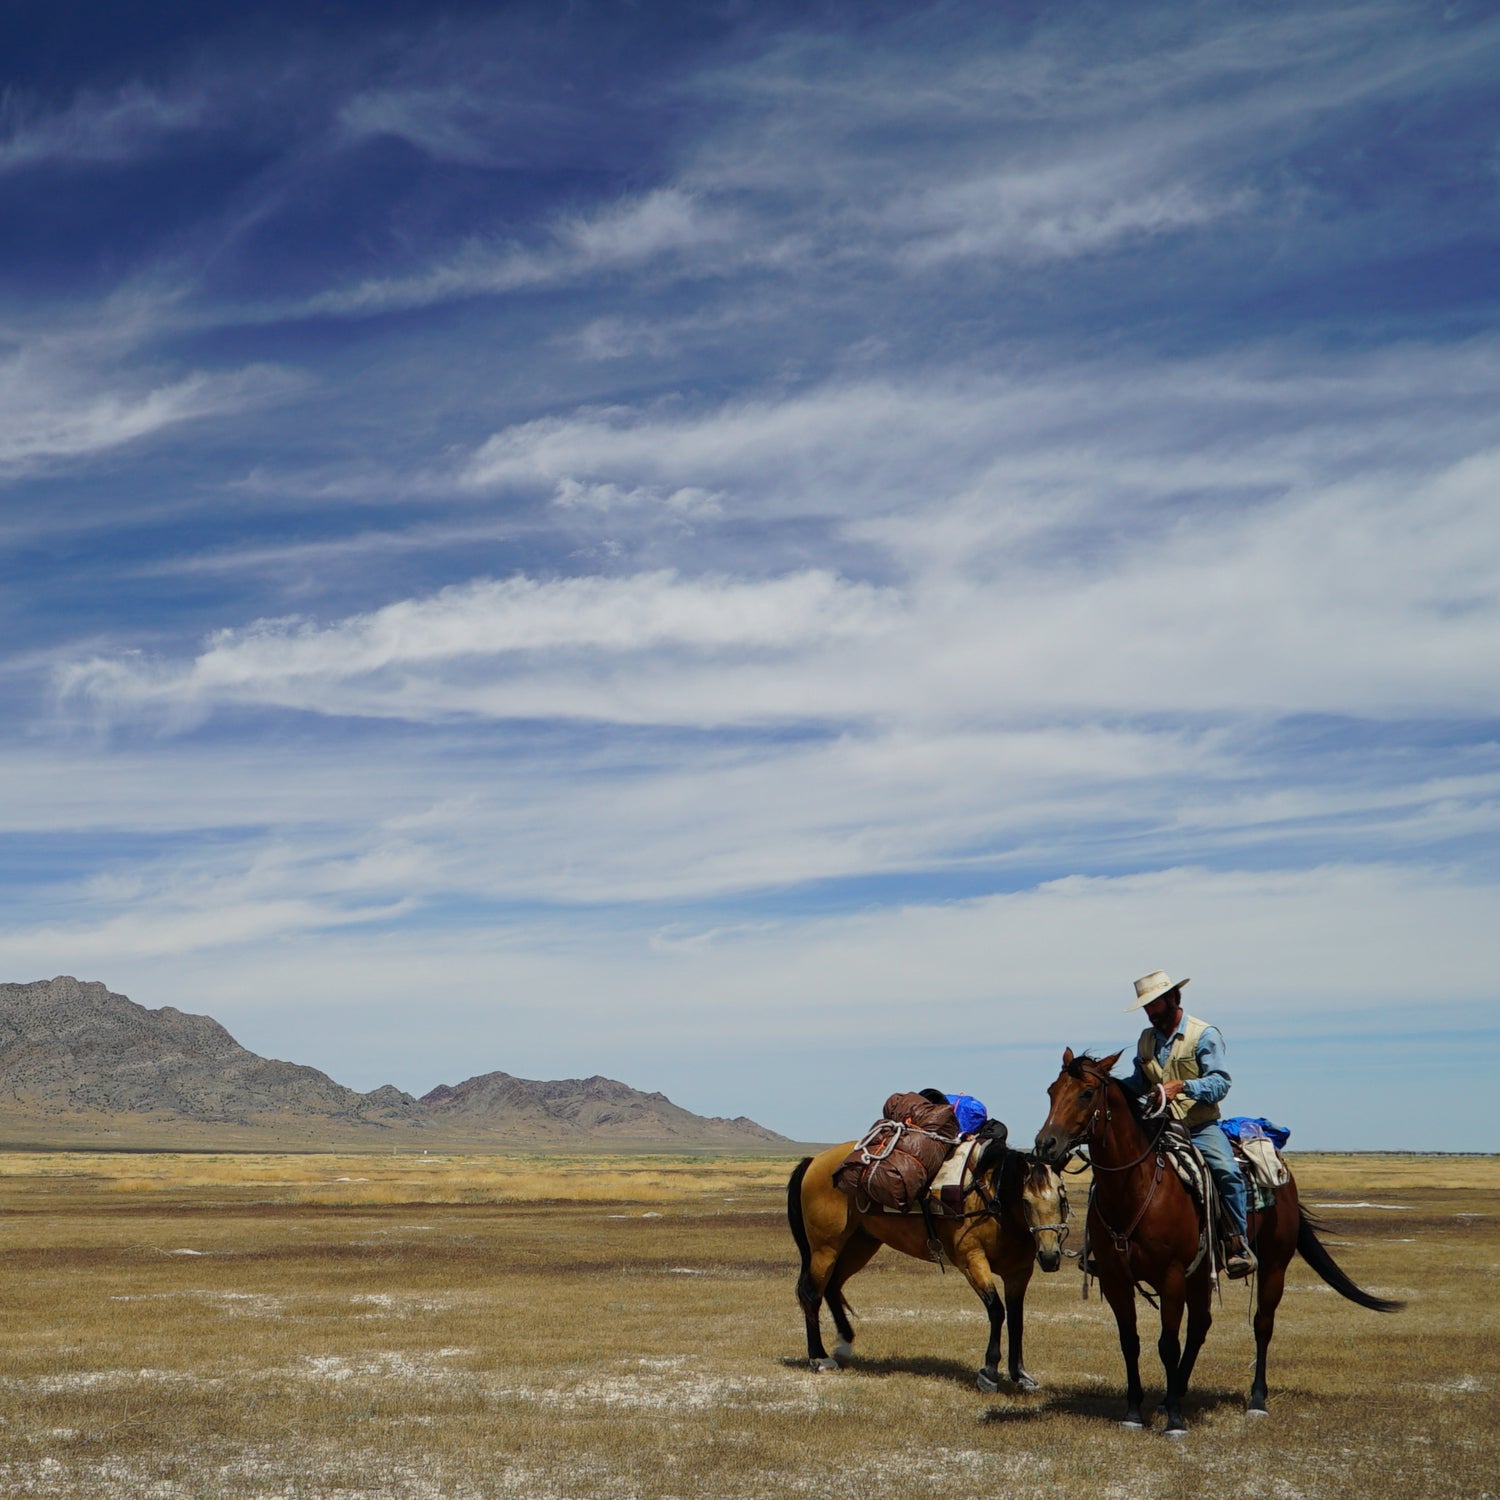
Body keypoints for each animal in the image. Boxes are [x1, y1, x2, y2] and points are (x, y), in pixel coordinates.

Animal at [1038, 1050, 1398, 1434]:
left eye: (1086, 1093)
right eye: (1051, 1091)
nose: (1045, 1144)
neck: (1135, 1188)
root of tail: (1284, 1174)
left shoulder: (1171, 1277)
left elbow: (1167, 1344)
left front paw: (1175, 1421)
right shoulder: (1115, 1278)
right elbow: (1130, 1341)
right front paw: (1134, 1412)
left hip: (1273, 1264)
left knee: (1262, 1325)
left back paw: (1255, 1400)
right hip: (1200, 1274)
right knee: (1201, 1326)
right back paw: (1174, 1393)